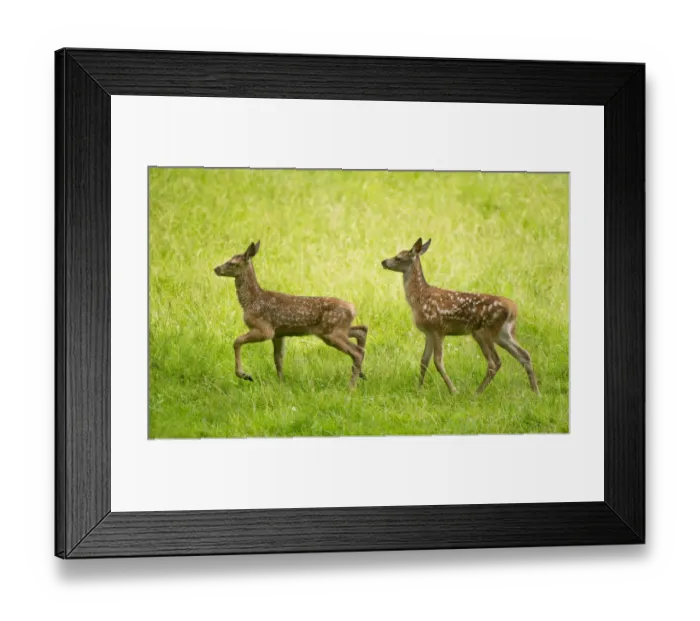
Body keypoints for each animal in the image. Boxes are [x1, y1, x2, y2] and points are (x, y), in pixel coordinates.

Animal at [214, 241, 368, 388]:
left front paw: (244, 375)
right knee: (362, 331)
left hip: (332, 333)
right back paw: (361, 374)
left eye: (232, 263)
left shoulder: (265, 329)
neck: (251, 300)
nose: (216, 269)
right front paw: (282, 383)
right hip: (334, 330)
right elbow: (278, 358)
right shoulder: (278, 334)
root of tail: (353, 308)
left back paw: (351, 387)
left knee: (357, 352)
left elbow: (237, 341)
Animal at [381, 238, 540, 396]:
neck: (419, 297)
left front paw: (453, 390)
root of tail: (513, 309)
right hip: (503, 333)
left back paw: (477, 393)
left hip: (483, 332)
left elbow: (438, 362)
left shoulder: (438, 329)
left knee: (495, 362)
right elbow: (423, 361)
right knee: (524, 355)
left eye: (398, 257)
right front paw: (419, 389)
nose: (384, 262)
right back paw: (536, 392)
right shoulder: (428, 333)